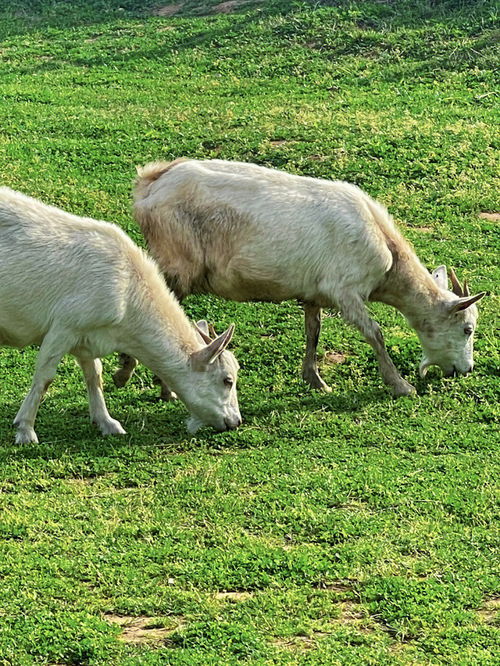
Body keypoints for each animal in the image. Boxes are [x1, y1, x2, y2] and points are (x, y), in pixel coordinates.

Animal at [0, 187, 242, 444]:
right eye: (227, 380)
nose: (235, 421)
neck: (127, 298)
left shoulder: (87, 335)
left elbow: (94, 375)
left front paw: (107, 422)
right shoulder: (65, 326)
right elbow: (45, 378)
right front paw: (25, 429)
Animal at [114, 160, 484, 400]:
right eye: (467, 329)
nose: (466, 370)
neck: (387, 254)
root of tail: (149, 183)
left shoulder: (314, 292)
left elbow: (313, 332)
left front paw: (315, 380)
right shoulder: (345, 289)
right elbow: (375, 334)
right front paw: (400, 385)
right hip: (177, 262)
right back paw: (142, 379)